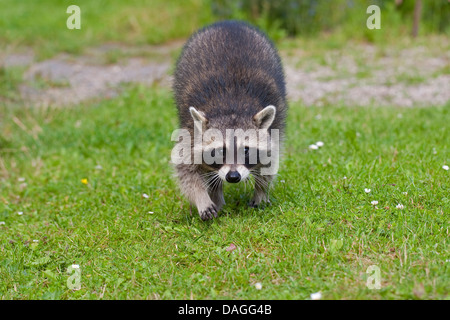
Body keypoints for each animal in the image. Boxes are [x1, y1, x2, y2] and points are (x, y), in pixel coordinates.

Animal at [171, 19, 286, 220]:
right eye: (219, 151)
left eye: (246, 150)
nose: (233, 177)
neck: (232, 109)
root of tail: (229, 23)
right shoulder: (190, 130)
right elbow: (186, 169)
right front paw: (201, 197)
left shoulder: (275, 127)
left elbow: (270, 159)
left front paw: (261, 191)